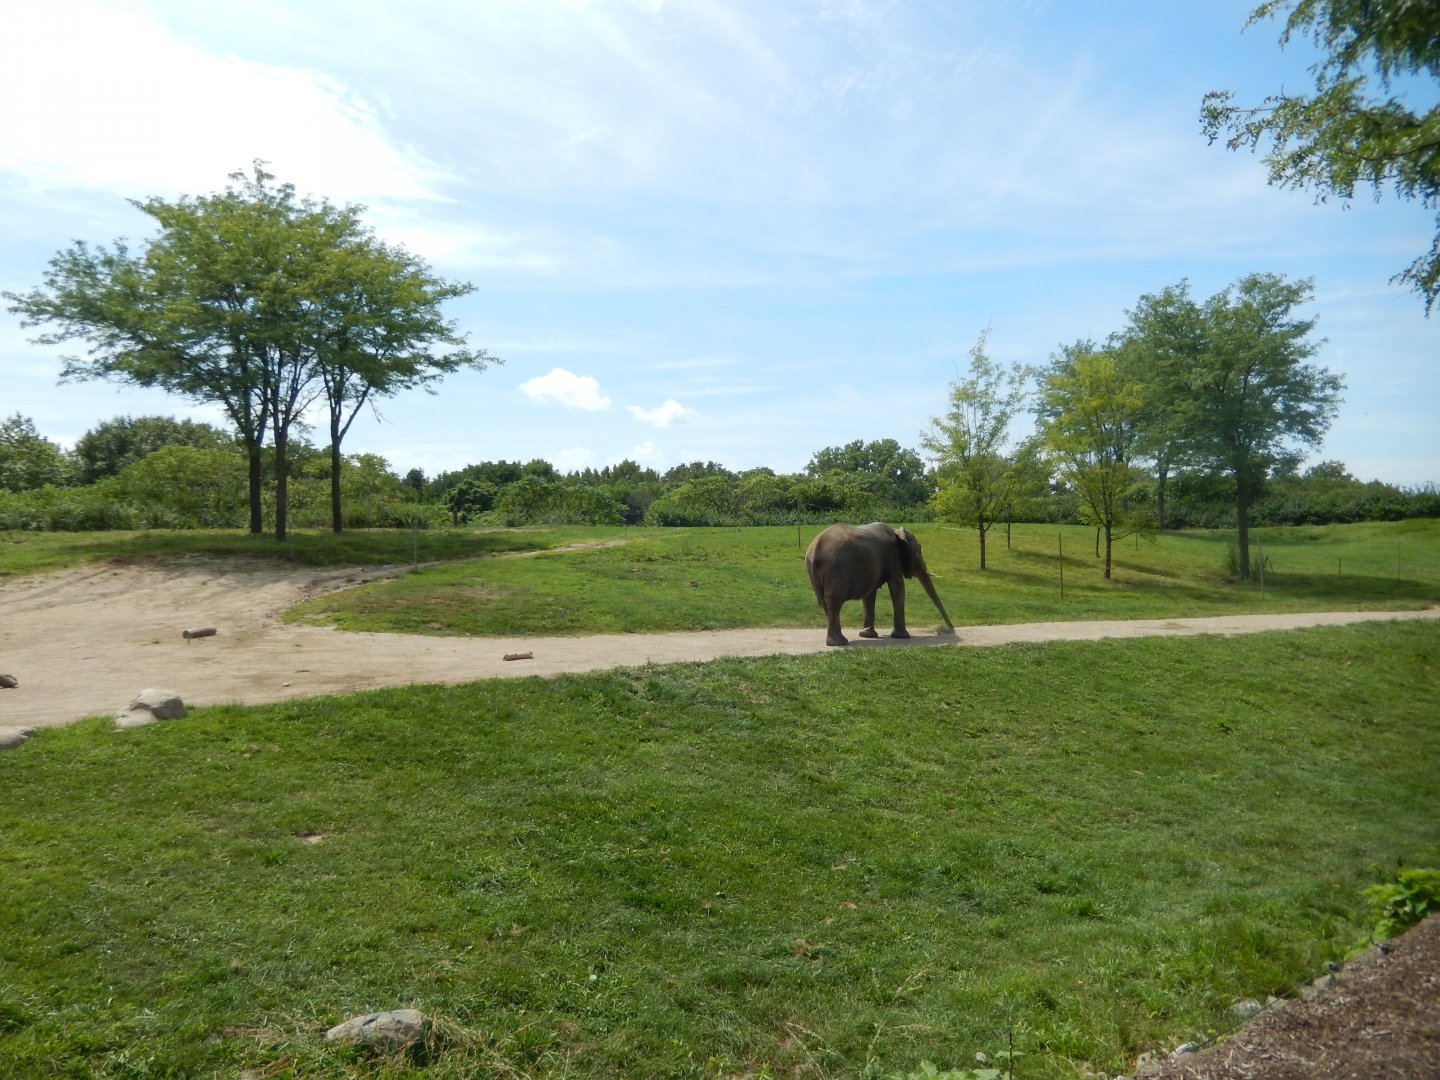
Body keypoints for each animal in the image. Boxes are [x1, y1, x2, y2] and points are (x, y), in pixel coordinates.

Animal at [805, 522, 955, 646]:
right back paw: (839, 643)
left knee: (826, 604)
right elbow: (897, 585)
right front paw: (902, 637)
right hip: (836, 570)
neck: (896, 531)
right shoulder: (893, 556)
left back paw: (837, 642)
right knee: (834, 603)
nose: (951, 629)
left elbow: (870, 594)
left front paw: (867, 635)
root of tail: (815, 549)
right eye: (919, 551)